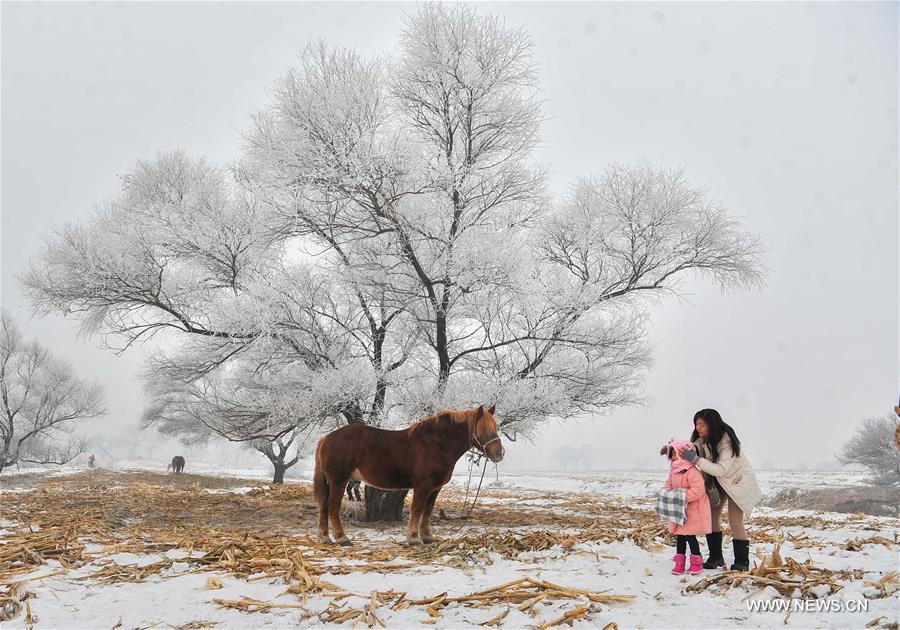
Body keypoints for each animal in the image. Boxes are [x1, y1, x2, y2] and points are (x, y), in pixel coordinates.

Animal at [312, 404, 502, 548]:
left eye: (497, 427)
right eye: (484, 428)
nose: (500, 453)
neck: (437, 444)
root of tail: (326, 438)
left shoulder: (435, 488)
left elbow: (427, 511)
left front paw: (427, 537)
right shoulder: (422, 486)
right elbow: (417, 509)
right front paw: (413, 538)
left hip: (331, 482)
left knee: (324, 506)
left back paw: (325, 537)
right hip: (339, 481)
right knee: (333, 507)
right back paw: (342, 538)